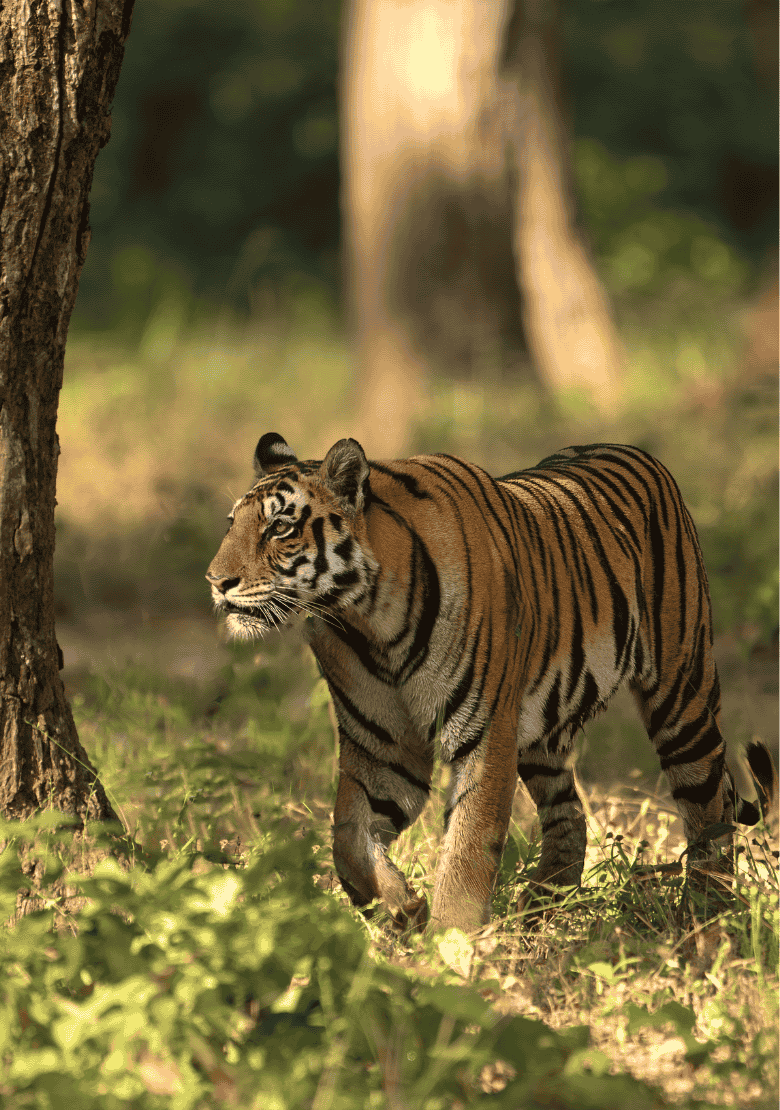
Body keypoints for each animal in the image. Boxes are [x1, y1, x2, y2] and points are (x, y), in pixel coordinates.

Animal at [206, 433, 776, 933]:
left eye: (280, 527)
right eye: (232, 524)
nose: (216, 582)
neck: (364, 620)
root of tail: (635, 450)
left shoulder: (484, 735)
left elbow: (467, 850)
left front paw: (447, 954)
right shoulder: (383, 748)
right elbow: (348, 838)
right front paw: (404, 911)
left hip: (682, 696)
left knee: (710, 806)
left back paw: (705, 919)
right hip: (546, 728)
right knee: (570, 816)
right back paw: (538, 911)